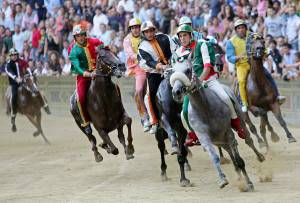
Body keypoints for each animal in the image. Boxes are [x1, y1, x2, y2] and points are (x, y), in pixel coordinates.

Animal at [170, 57, 256, 192]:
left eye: (188, 70)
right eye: (173, 71)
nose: (176, 92)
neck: (205, 108)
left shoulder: (228, 133)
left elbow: (239, 160)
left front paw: (249, 183)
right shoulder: (204, 137)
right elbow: (215, 157)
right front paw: (223, 180)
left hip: (238, 124)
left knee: (248, 140)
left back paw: (261, 156)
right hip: (218, 140)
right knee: (228, 150)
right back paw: (238, 174)